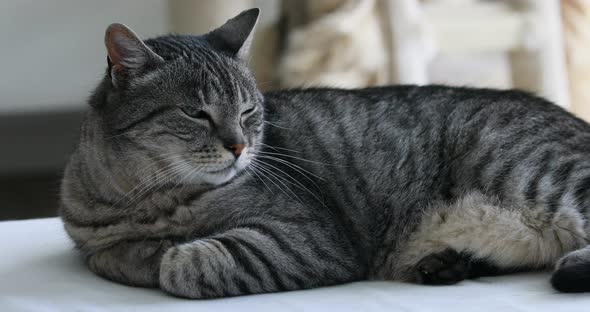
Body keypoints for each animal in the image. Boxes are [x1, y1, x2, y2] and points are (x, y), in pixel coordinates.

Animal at [60, 8, 590, 298]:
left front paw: (159, 254)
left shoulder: (308, 236)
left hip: (541, 174)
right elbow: (104, 255)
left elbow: (182, 263)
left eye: (248, 110)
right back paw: (445, 264)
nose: (240, 145)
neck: (144, 199)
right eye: (197, 114)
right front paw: (135, 252)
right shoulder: (90, 236)